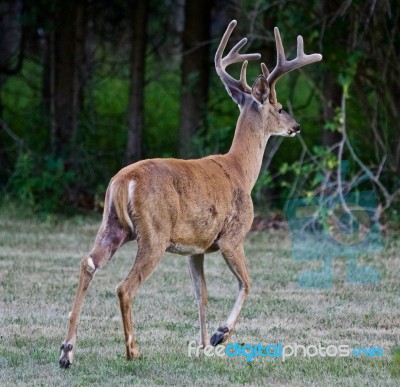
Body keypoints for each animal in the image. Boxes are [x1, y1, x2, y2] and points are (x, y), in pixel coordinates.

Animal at [58, 19, 322, 370]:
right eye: (279, 108)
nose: (297, 126)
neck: (240, 170)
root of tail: (124, 180)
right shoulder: (233, 236)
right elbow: (247, 283)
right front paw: (220, 335)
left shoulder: (195, 248)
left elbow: (202, 295)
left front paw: (204, 345)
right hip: (154, 233)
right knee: (124, 287)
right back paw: (133, 350)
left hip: (112, 225)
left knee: (88, 264)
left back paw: (66, 352)